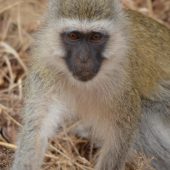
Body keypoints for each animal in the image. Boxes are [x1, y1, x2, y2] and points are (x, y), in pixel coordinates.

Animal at [11, 0, 170, 170]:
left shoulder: (123, 88)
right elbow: (37, 128)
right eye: (73, 36)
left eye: (95, 37)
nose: (84, 59)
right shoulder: (45, 71)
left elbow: (120, 137)